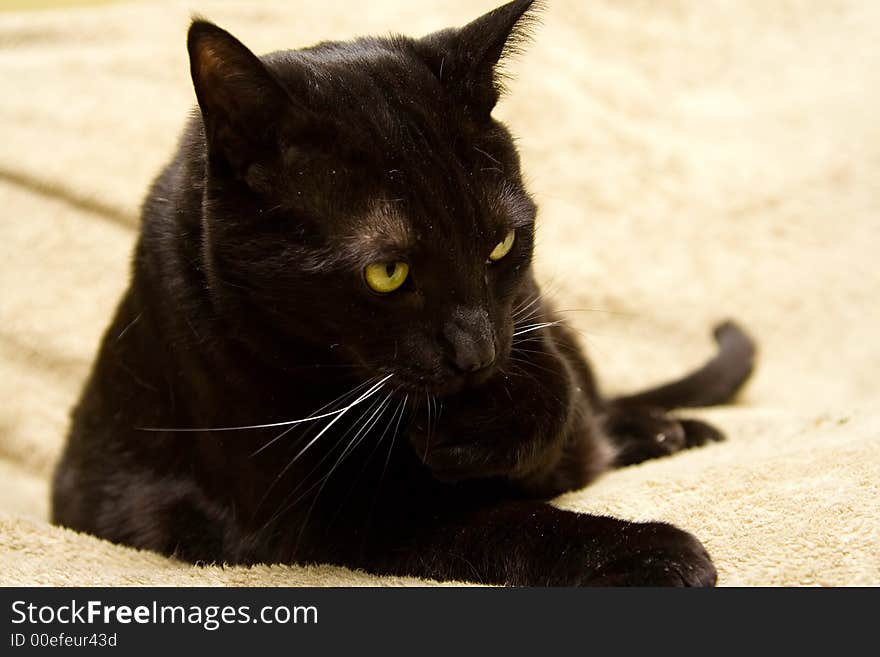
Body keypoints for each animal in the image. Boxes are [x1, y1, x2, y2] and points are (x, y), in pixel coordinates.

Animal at [53, 0, 756, 584]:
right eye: (386, 273)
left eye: (501, 244)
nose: (476, 354)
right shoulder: (326, 517)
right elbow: (508, 524)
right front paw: (655, 552)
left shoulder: (525, 320)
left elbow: (557, 397)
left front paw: (483, 432)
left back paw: (671, 428)